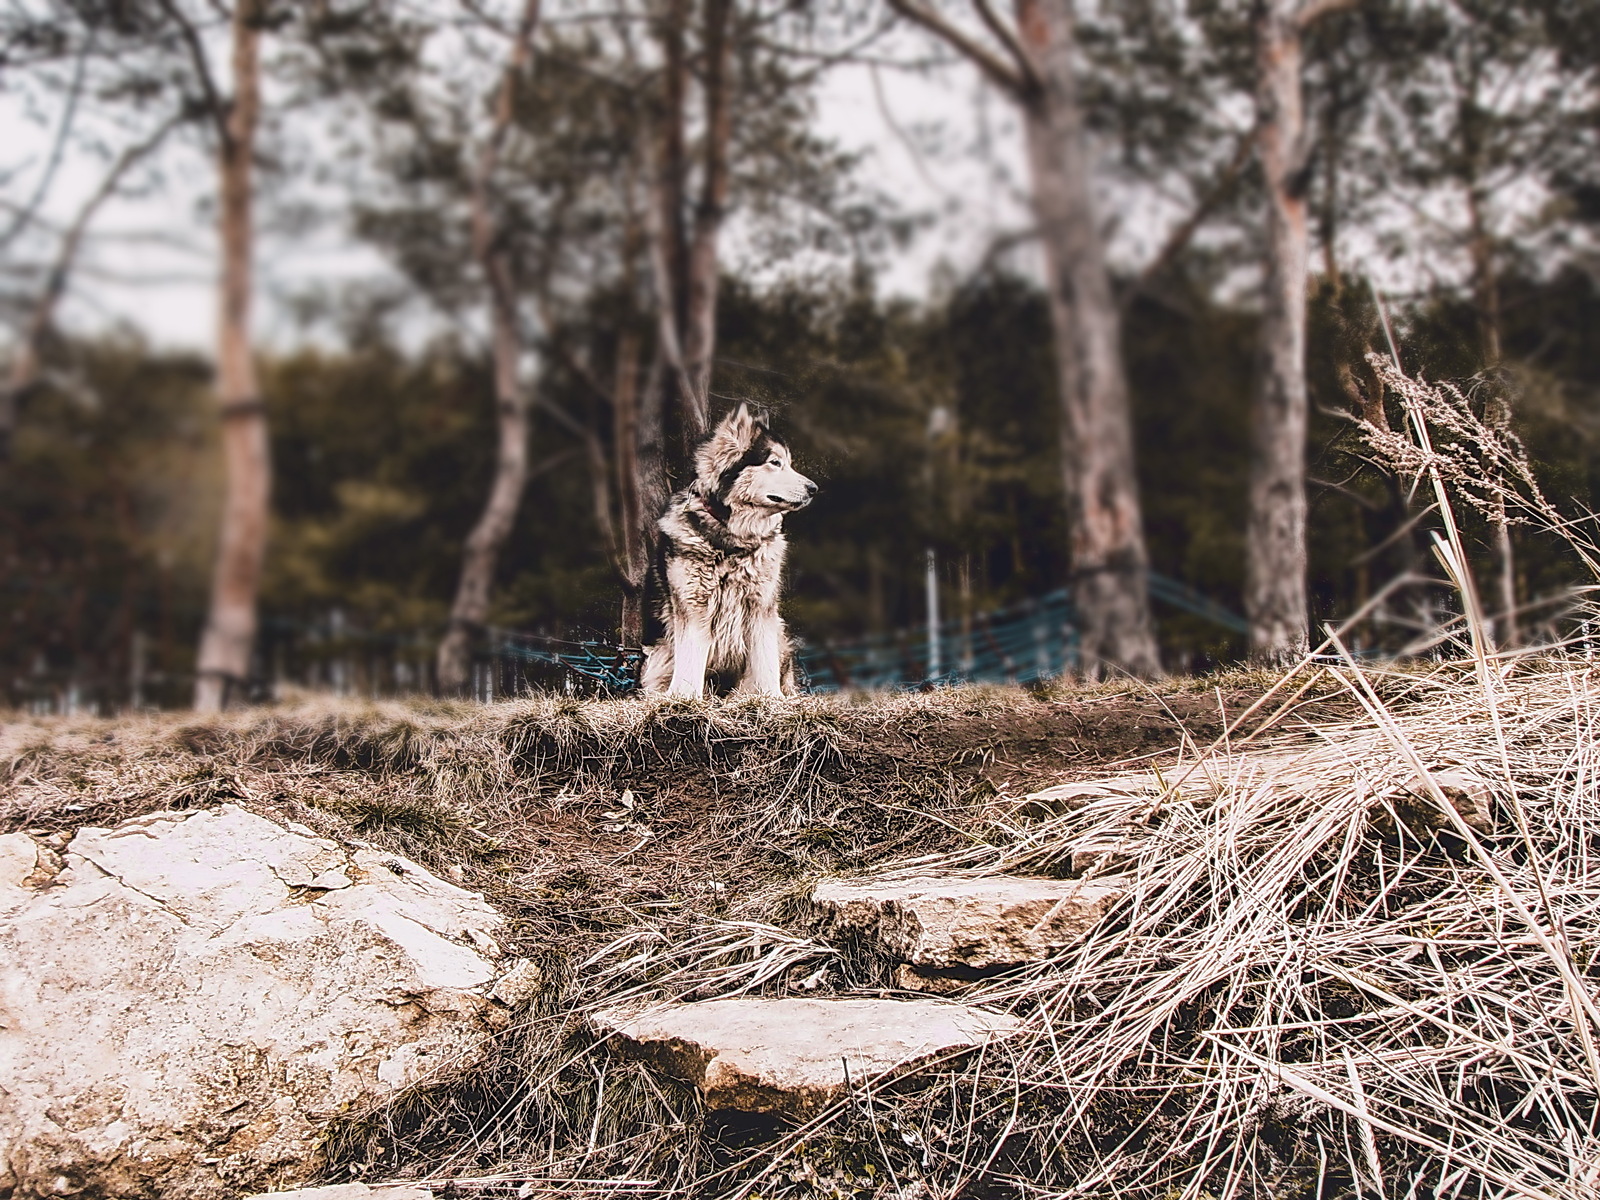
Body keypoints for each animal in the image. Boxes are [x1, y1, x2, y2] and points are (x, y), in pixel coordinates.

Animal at [636, 404, 812, 700]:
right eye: (775, 462)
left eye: (788, 462)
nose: (814, 488)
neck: (733, 542)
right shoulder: (692, 608)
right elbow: (690, 660)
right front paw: (685, 698)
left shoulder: (761, 607)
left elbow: (765, 662)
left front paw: (772, 698)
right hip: (658, 656)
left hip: (779, 634)